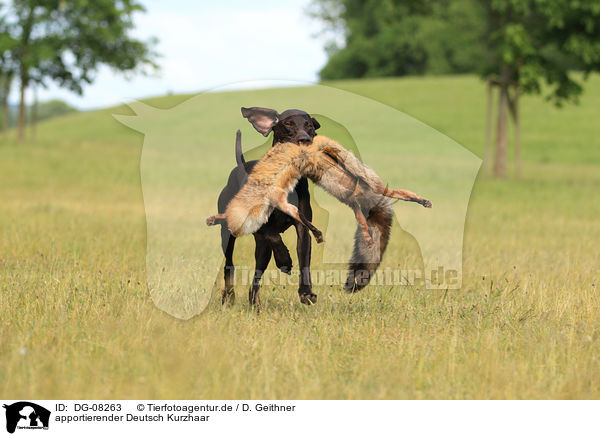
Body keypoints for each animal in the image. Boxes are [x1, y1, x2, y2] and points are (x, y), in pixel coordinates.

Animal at [206, 130, 432, 292]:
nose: (232, 233)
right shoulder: (282, 203)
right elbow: (301, 218)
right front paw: (316, 233)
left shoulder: (279, 197)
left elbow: (301, 219)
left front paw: (316, 234)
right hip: (355, 204)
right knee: (365, 221)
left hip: (373, 187)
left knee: (396, 191)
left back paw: (422, 200)